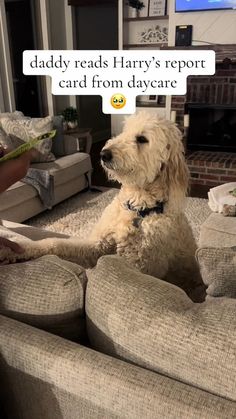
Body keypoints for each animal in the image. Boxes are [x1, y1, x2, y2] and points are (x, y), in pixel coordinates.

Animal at [0, 111, 205, 302]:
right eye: (124, 131)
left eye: (142, 139)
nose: (103, 154)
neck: (136, 209)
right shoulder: (97, 246)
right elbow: (54, 243)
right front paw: (12, 249)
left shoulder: (141, 265)